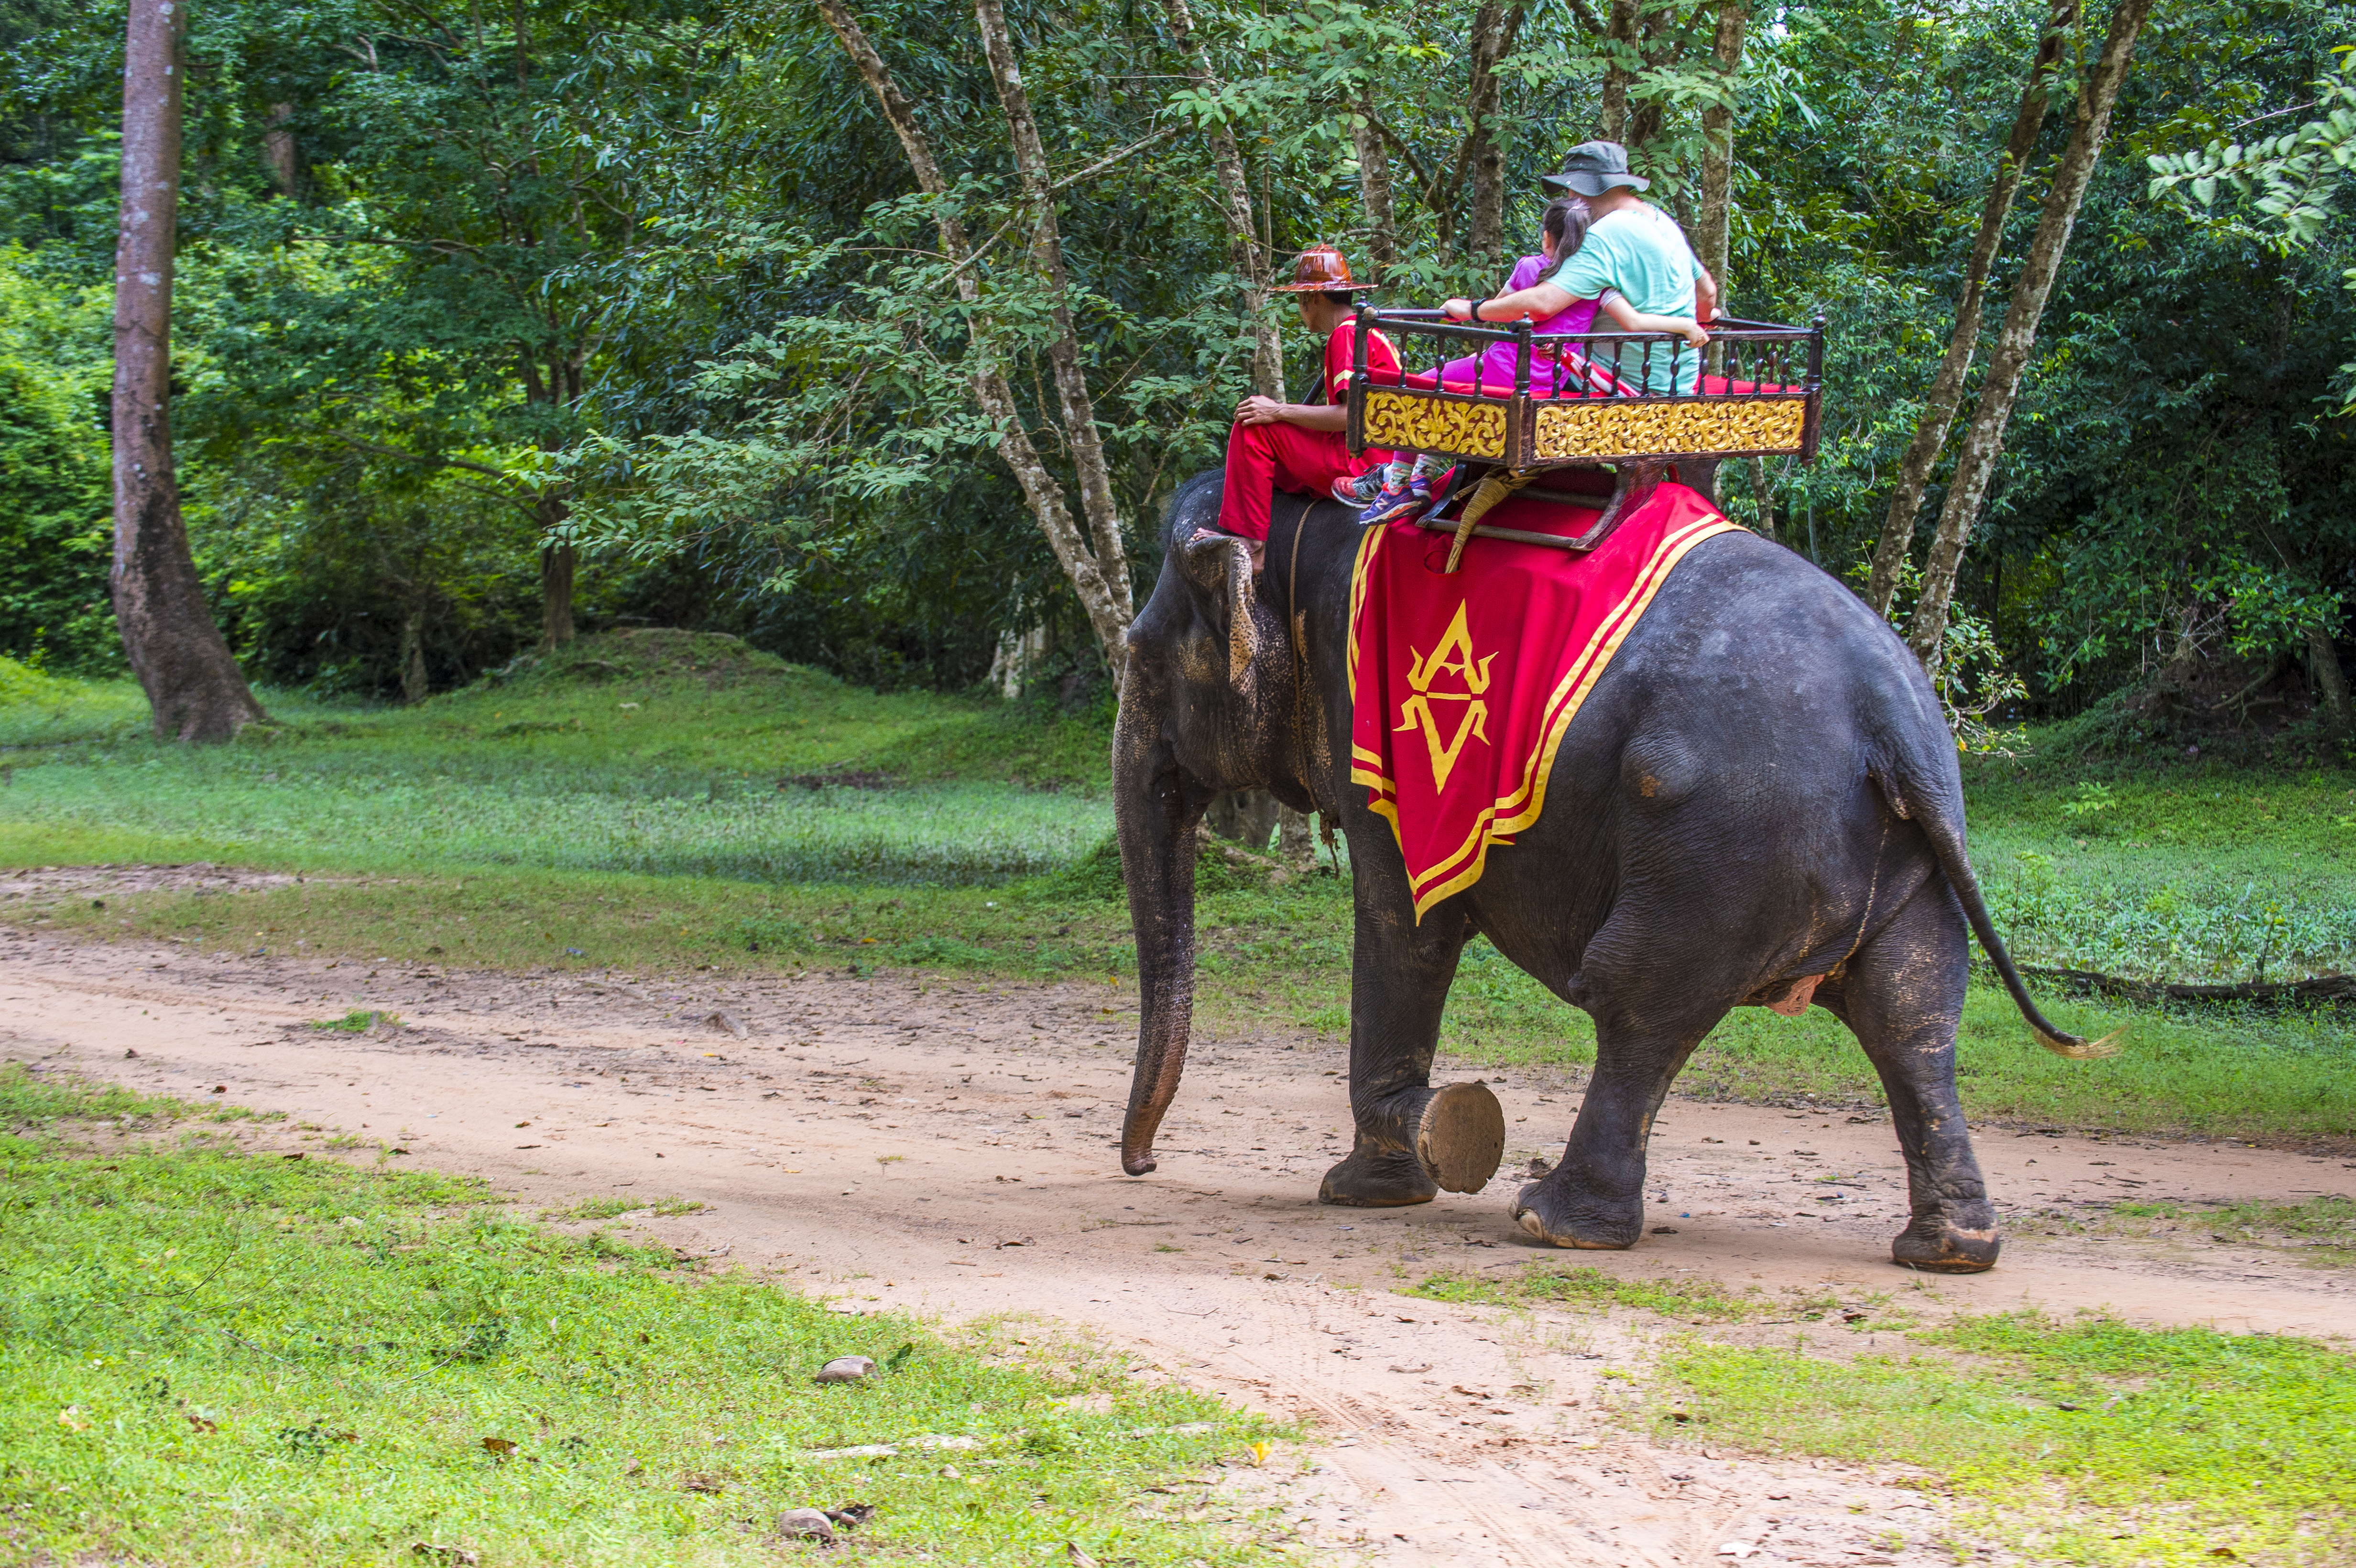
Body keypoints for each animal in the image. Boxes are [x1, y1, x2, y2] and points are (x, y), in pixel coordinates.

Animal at [1112, 473, 2111, 1271]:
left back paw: (1550, 1222)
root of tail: (1894, 719)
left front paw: (1387, 1168)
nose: (1145, 1166)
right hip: (1895, 856)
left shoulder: (1388, 753)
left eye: (1142, 652)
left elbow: (1405, 926)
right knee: (1913, 1015)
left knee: (1637, 1001)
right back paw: (1949, 1251)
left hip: (1720, 845)